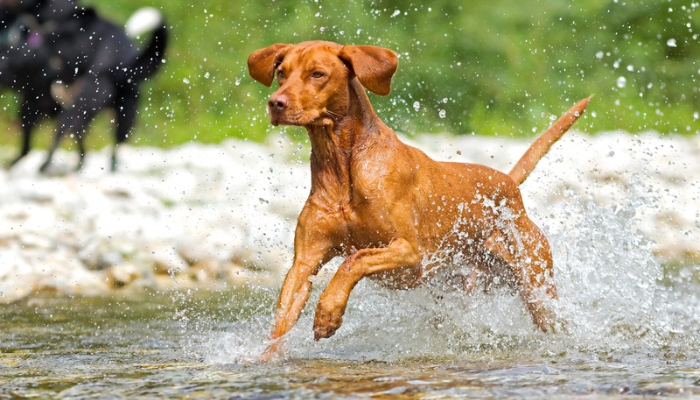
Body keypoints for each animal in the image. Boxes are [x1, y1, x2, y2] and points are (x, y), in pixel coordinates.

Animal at [0, 0, 167, 172]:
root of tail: (120, 59)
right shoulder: (34, 100)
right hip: (116, 109)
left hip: (99, 104)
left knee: (71, 129)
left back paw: (48, 165)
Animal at [247, 40, 592, 360]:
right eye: (281, 72)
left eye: (317, 74)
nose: (275, 103)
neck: (341, 165)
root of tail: (508, 183)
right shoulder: (304, 263)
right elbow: (282, 318)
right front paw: (265, 358)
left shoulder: (409, 252)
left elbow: (353, 261)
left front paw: (328, 311)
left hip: (537, 288)